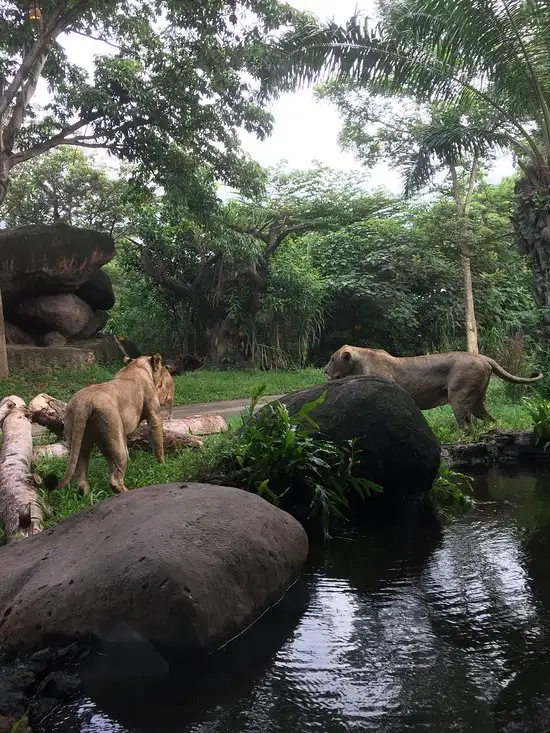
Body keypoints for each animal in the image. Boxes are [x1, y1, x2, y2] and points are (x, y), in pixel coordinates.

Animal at [44, 354, 165, 492]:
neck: (136, 366)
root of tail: (83, 403)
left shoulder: (122, 431)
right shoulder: (154, 414)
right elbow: (157, 440)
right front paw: (161, 465)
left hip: (79, 436)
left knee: (81, 469)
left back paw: (85, 493)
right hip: (112, 432)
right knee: (115, 477)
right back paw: (126, 491)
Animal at [326, 346, 544, 432]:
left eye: (332, 358)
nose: (325, 370)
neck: (358, 364)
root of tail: (483, 357)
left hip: (459, 396)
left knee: (466, 426)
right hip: (478, 399)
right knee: (489, 419)